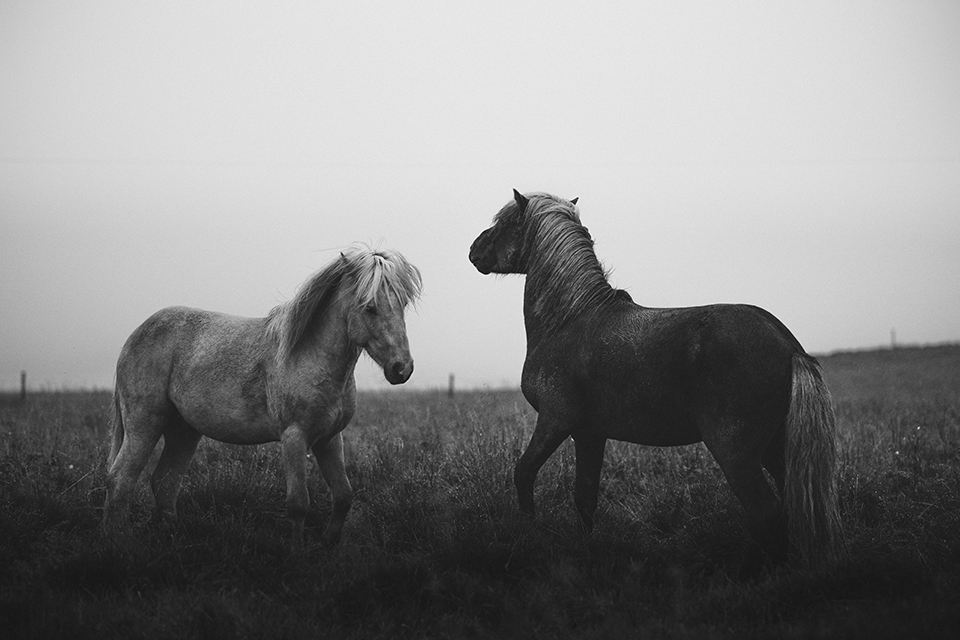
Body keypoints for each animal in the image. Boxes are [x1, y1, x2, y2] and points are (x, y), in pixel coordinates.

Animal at [103, 248, 422, 548]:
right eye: (370, 307)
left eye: (402, 304)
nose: (402, 368)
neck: (309, 356)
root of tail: (135, 335)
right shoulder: (295, 437)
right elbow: (298, 503)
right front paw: (297, 554)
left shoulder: (329, 439)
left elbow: (344, 496)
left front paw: (328, 543)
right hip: (145, 424)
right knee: (120, 480)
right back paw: (119, 541)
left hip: (183, 431)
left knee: (165, 482)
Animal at [470, 190, 840, 564]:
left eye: (504, 223)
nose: (473, 250)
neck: (569, 319)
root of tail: (788, 344)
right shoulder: (589, 434)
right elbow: (585, 498)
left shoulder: (555, 421)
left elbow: (523, 473)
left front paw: (528, 535)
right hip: (775, 448)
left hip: (736, 452)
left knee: (766, 513)